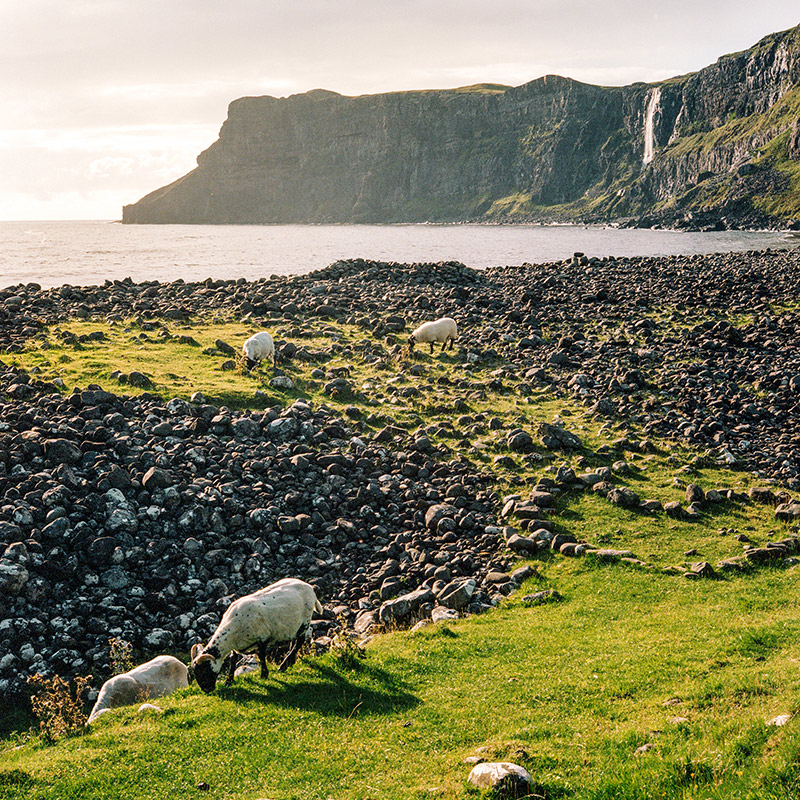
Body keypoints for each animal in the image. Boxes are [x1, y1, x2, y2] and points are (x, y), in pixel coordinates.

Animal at [191, 576, 322, 692]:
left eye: (205, 670)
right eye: (196, 672)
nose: (207, 690)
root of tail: (309, 587)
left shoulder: (263, 637)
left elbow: (261, 656)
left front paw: (264, 674)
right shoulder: (237, 646)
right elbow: (233, 660)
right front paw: (229, 681)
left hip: (304, 621)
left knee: (299, 642)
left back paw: (283, 665)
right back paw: (290, 662)